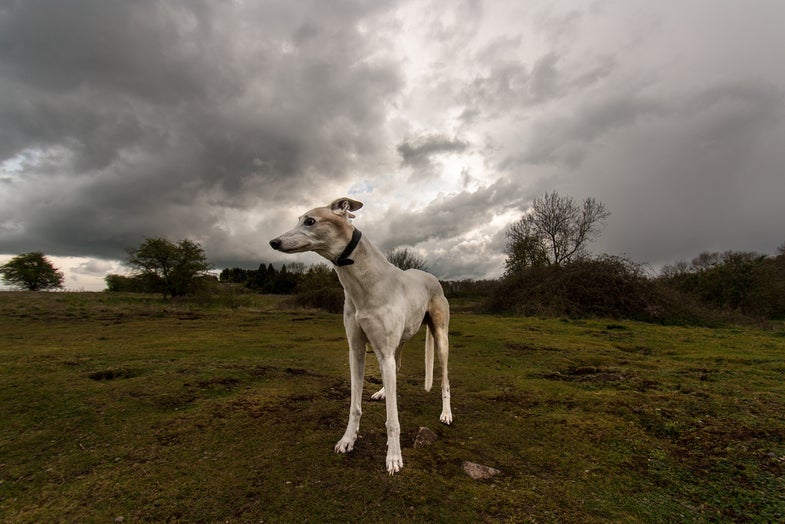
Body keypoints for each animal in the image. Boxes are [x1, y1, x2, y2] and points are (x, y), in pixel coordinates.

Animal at [270, 198, 454, 474]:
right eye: (299, 219)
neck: (364, 282)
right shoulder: (356, 351)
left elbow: (392, 419)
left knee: (444, 380)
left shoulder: (383, 352)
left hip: (440, 338)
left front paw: (394, 457)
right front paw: (348, 439)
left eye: (310, 221)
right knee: (397, 366)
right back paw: (383, 392)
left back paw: (446, 413)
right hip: (399, 342)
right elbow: (354, 406)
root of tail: (432, 277)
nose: (274, 242)